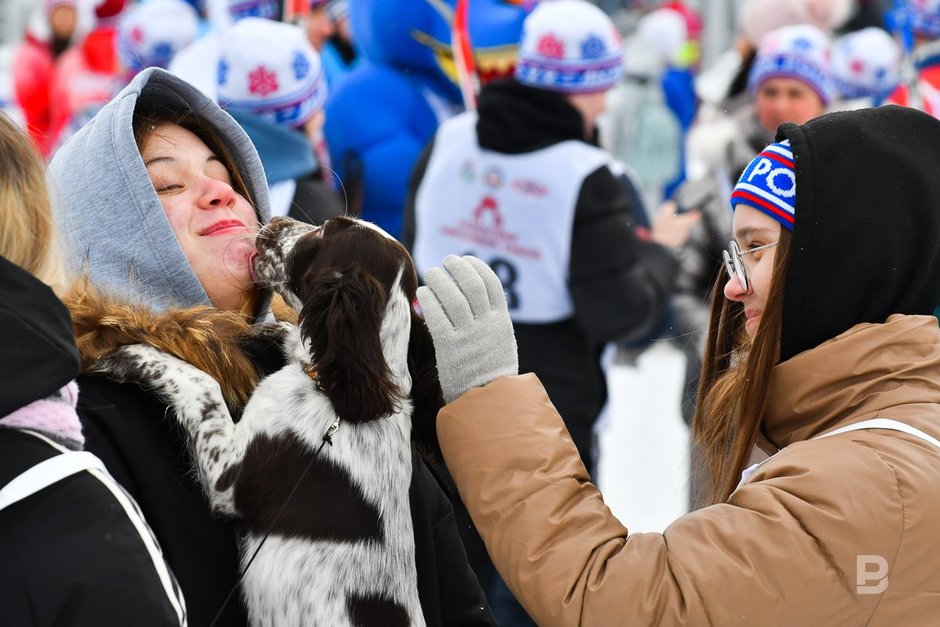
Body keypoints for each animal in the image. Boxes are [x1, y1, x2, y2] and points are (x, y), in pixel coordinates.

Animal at [104, 217, 442, 627]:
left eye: (325, 230)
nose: (278, 221)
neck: (334, 401)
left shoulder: (227, 478)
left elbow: (202, 384)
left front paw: (132, 353)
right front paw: (276, 329)